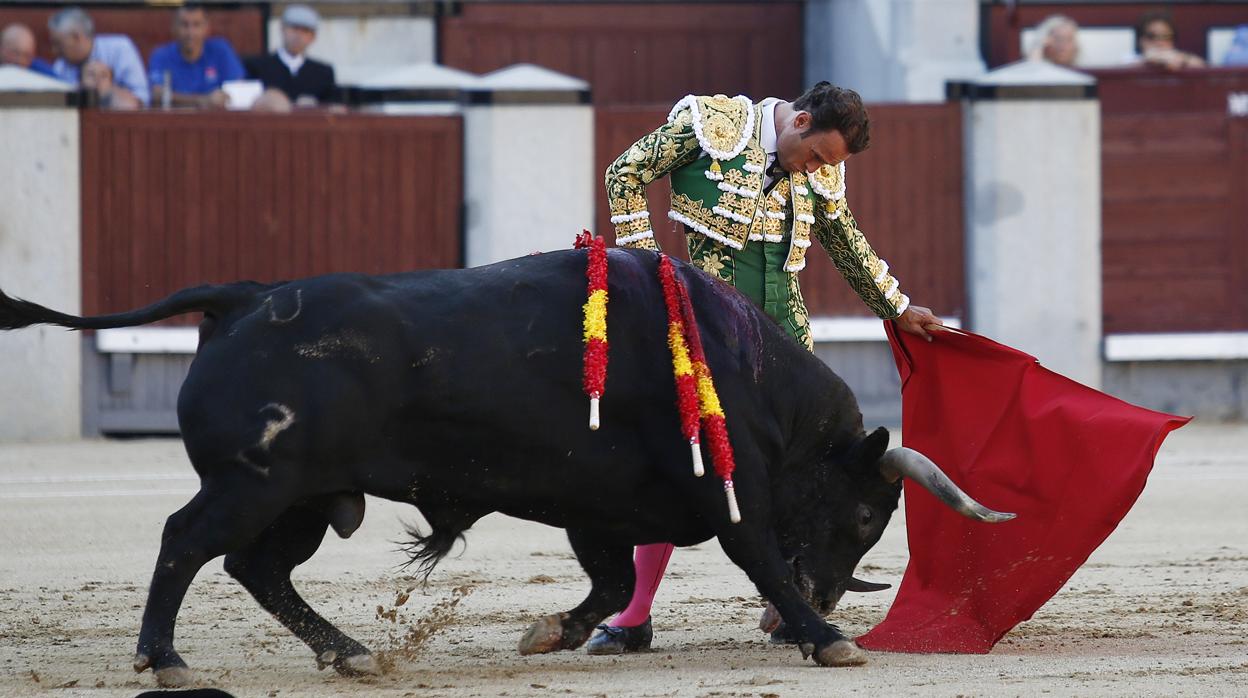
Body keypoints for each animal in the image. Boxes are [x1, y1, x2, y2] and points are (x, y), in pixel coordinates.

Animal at [0, 248, 1013, 684]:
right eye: (865, 516)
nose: (825, 595)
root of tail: (243, 298)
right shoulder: (730, 500)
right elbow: (754, 554)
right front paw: (825, 636)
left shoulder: (601, 510)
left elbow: (612, 584)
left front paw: (551, 633)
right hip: (252, 485)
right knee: (185, 542)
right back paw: (165, 659)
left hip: (302, 499)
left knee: (257, 568)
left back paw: (351, 652)